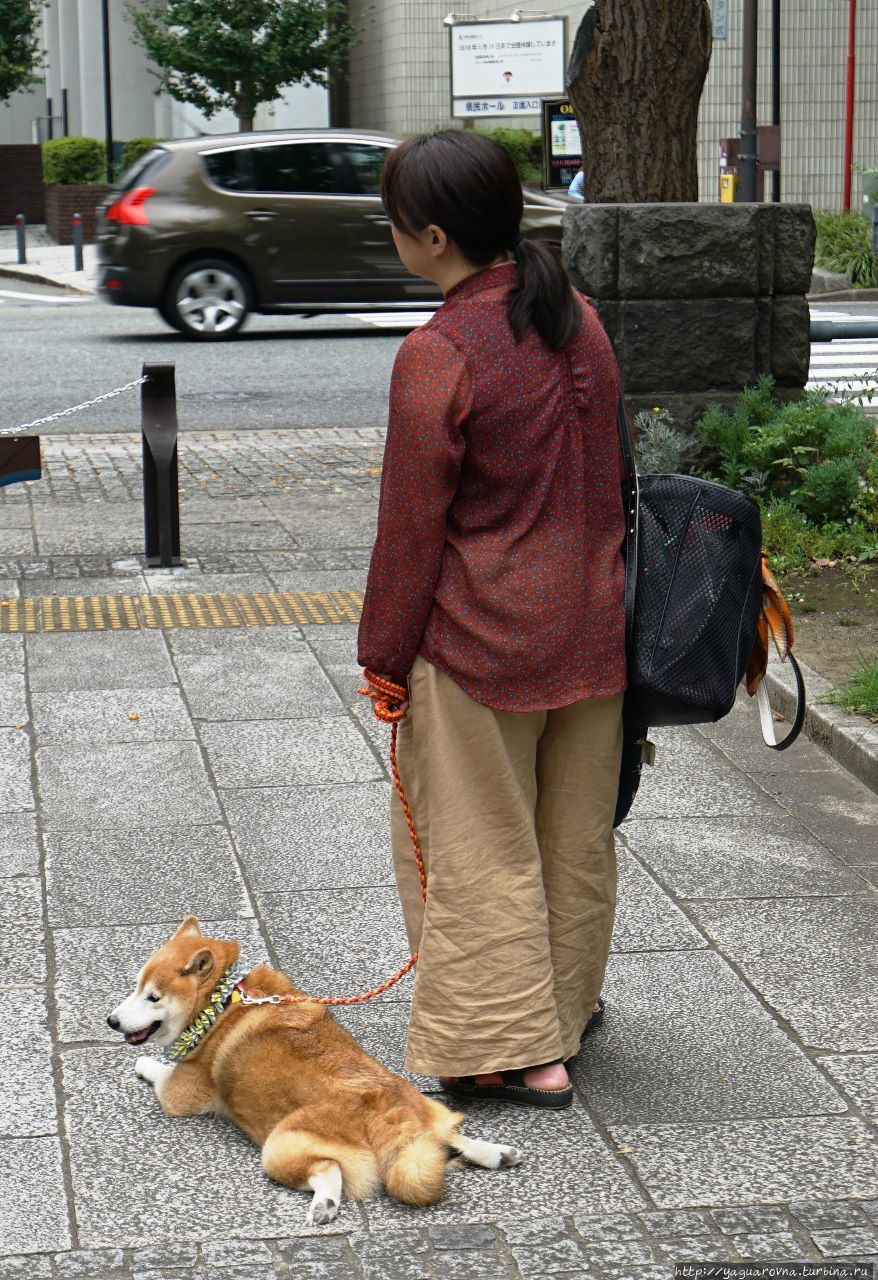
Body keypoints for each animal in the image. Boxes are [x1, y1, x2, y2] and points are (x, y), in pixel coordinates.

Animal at [108, 916, 522, 1223]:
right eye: (135, 987)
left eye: (153, 997)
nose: (111, 1021)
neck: (222, 1004)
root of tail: (387, 1114)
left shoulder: (178, 1093)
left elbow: (156, 1068)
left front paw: (143, 1063)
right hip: (423, 1109)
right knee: (447, 1136)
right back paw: (496, 1152)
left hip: (279, 1146)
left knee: (328, 1170)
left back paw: (324, 1203)